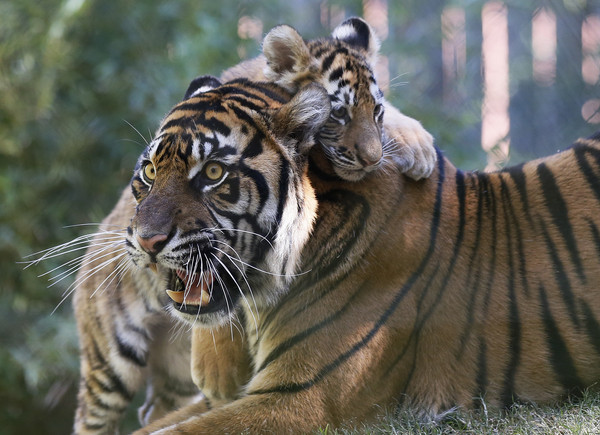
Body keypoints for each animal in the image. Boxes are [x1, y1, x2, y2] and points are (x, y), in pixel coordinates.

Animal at [69, 17, 436, 432]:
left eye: (377, 112)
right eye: (338, 113)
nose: (373, 160)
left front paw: (419, 147)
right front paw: (218, 371)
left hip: (172, 374)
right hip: (110, 362)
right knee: (92, 415)